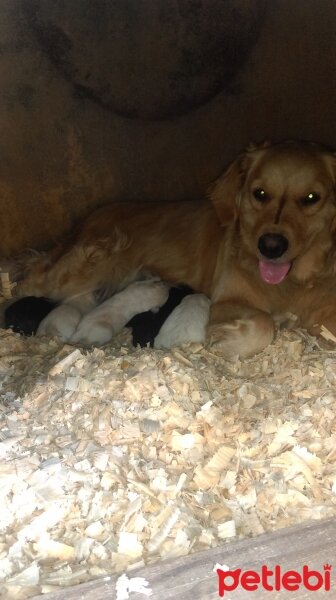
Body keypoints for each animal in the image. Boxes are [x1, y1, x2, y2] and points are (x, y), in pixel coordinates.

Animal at [14, 140, 336, 356]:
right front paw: (228, 341)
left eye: (311, 198)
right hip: (85, 266)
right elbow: (263, 324)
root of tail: (91, 216)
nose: (271, 247)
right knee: (28, 280)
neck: (293, 281)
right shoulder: (226, 302)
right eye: (260, 194)